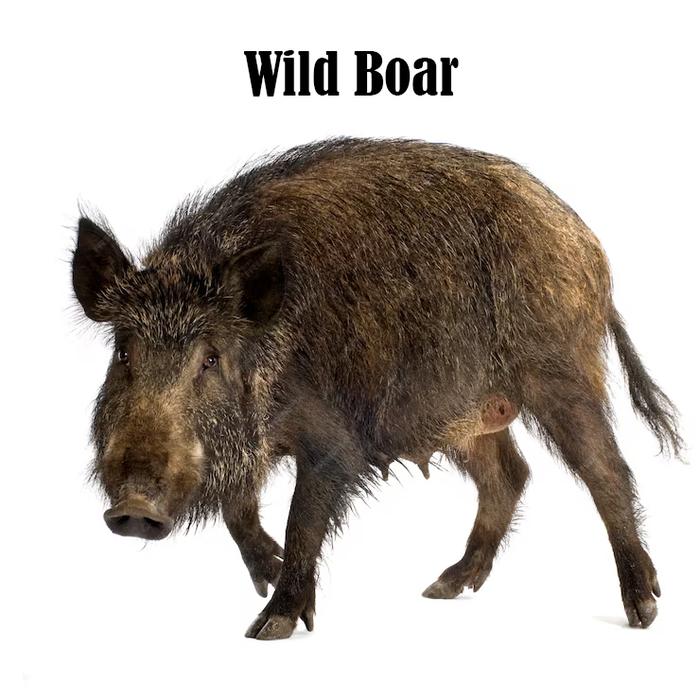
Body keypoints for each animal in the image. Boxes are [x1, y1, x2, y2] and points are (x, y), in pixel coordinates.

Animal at [72, 138, 682, 640]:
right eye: (123, 353)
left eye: (211, 358)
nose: (134, 507)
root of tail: (590, 248)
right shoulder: (248, 444)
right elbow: (239, 511)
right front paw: (272, 579)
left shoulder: (333, 441)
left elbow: (303, 518)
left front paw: (270, 626)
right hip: (464, 410)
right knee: (510, 473)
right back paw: (441, 588)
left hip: (559, 371)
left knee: (606, 469)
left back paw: (643, 610)